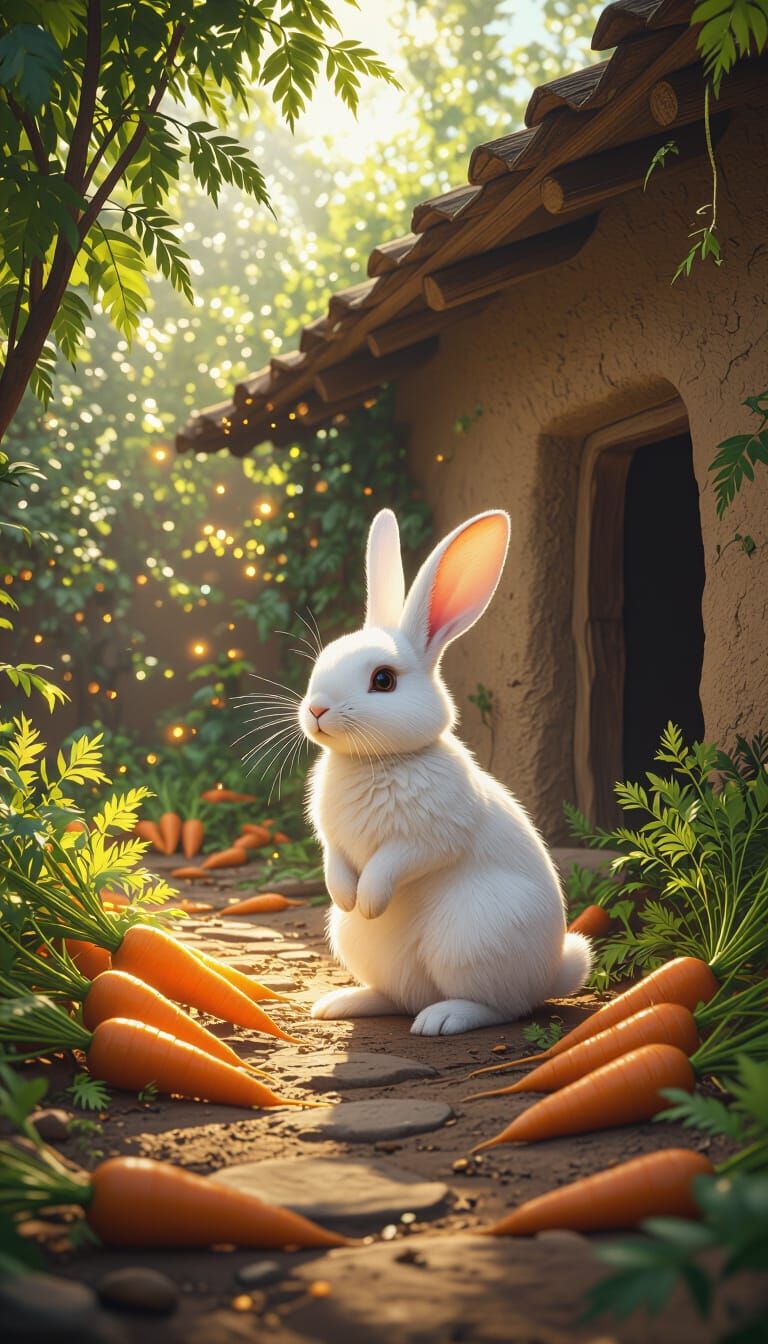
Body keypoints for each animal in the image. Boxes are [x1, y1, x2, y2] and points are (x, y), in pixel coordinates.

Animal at [298, 507, 592, 1035]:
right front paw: (348, 897)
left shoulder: (427, 839)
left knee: (500, 1006)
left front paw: (369, 901)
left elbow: (390, 865)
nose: (316, 710)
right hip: (361, 945)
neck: (377, 761)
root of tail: (553, 972)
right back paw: (343, 1002)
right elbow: (336, 863)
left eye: (383, 680)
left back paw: (443, 1019)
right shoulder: (334, 842)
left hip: (473, 938)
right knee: (400, 996)